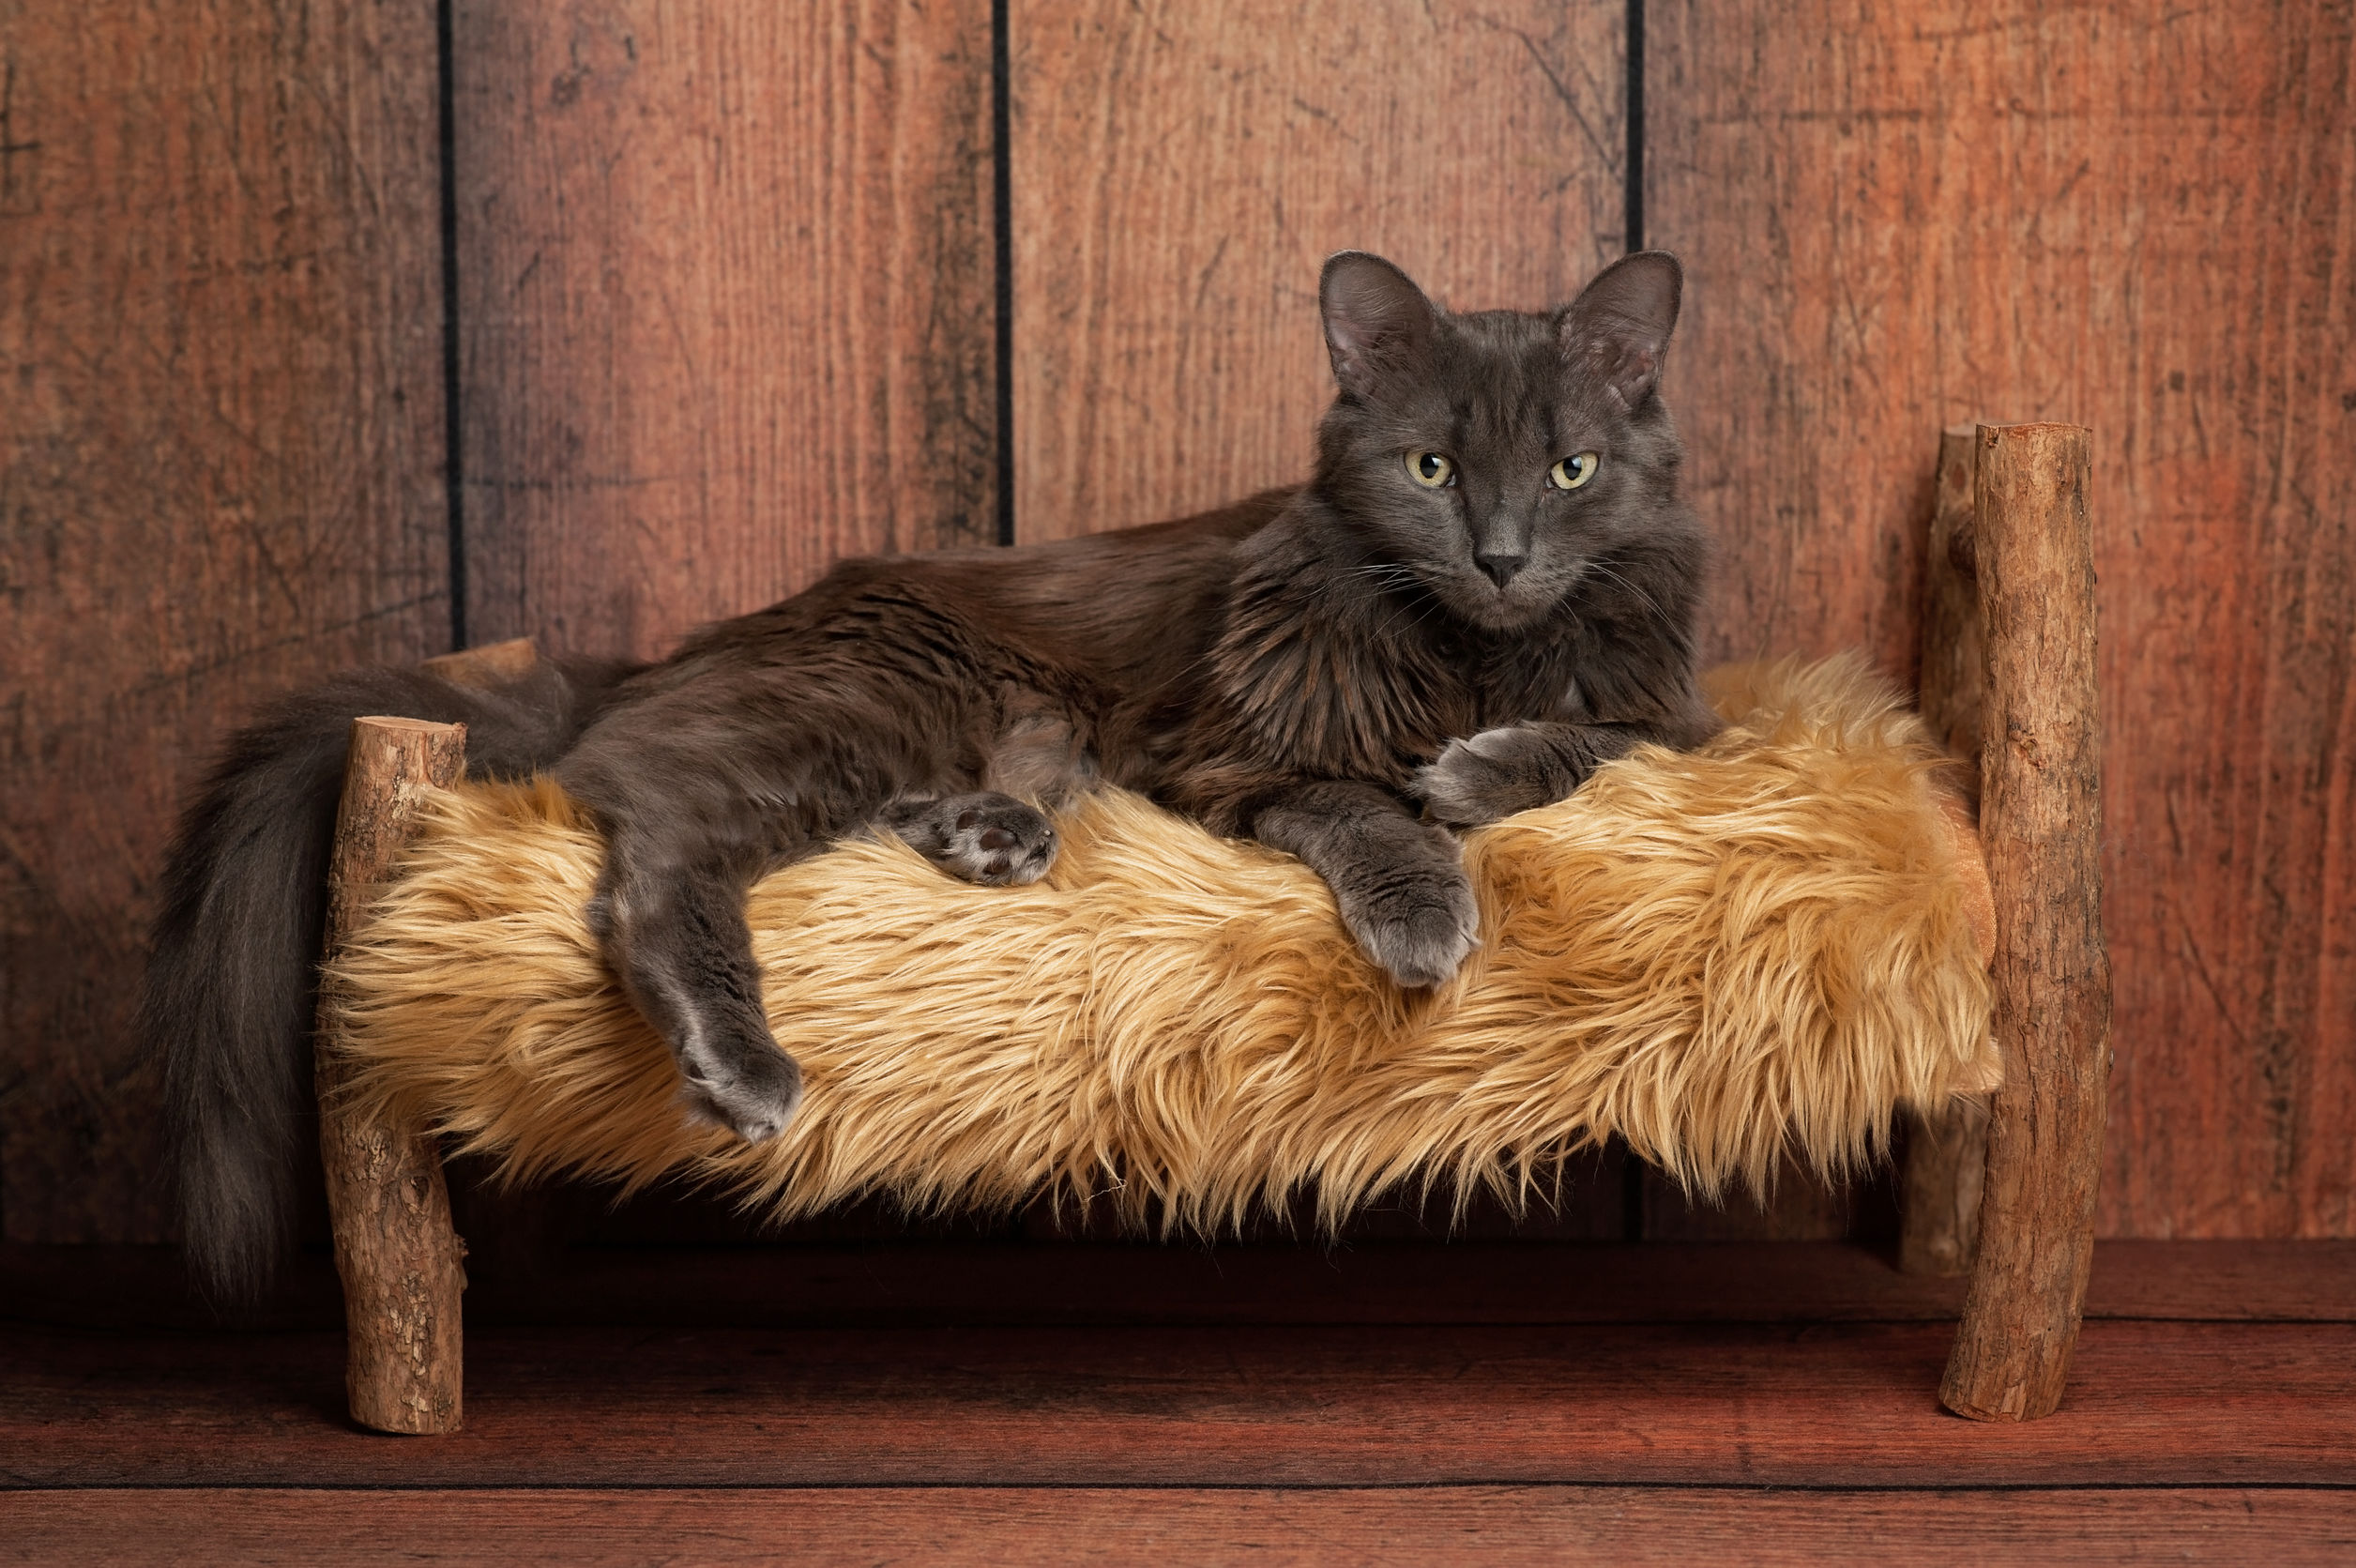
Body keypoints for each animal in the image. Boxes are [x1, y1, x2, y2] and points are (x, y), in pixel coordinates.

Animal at [137, 247, 1715, 1292]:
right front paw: (1425, 899)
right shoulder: (1227, 750)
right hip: (874, 699)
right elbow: (1360, 803)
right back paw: (743, 1062)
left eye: (1569, 470)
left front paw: (1475, 770)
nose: (1499, 557)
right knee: (654, 846)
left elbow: (1599, 738)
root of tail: (658, 657)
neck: (1471, 653)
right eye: (1431, 470)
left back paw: (984, 835)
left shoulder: (1682, 716)